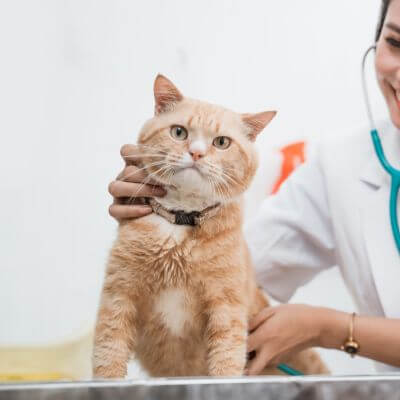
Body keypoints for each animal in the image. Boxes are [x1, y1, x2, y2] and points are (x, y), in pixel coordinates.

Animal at [94, 75, 328, 378]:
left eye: (221, 142)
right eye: (179, 132)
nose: (196, 153)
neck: (181, 224)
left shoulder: (226, 307)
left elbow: (226, 361)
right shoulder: (119, 296)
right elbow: (108, 356)